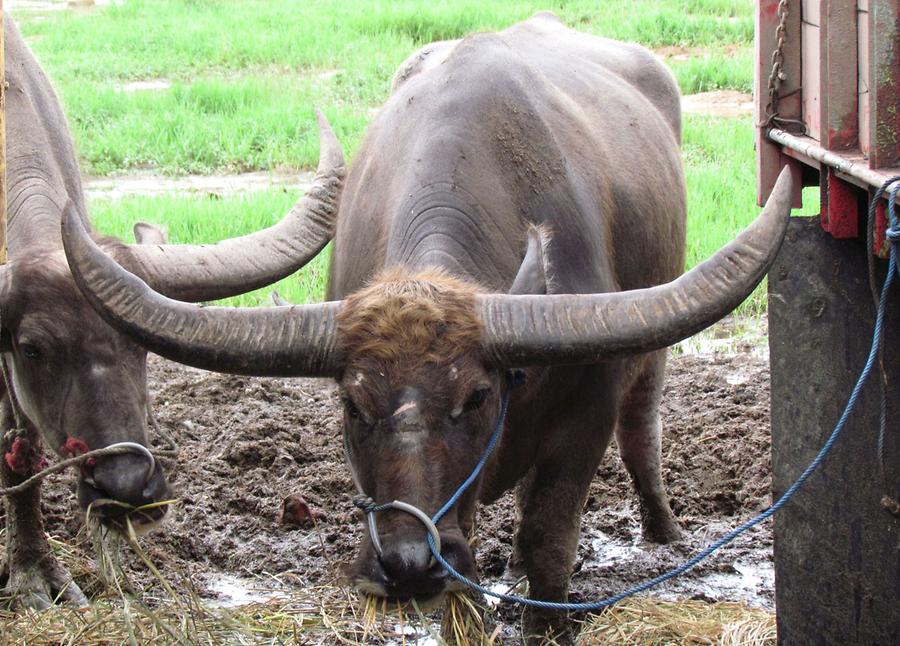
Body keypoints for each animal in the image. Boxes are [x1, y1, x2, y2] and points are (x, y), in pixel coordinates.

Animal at [65, 12, 796, 644]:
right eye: (353, 404)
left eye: (477, 396)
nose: (407, 565)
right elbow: (467, 580)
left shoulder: (583, 415)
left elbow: (549, 541)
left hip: (652, 355)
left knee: (642, 427)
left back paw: (664, 529)